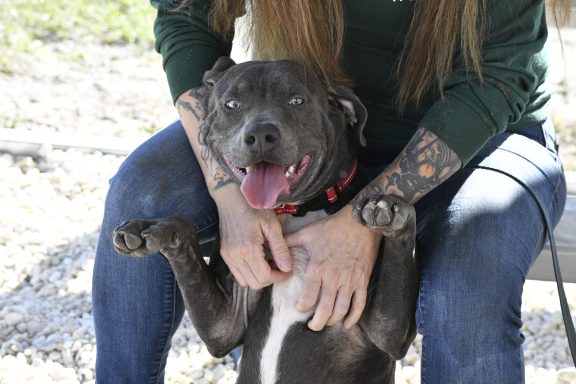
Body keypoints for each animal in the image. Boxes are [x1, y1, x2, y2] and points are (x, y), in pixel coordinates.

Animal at [113, 57, 418, 384]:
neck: (297, 211)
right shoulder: (225, 324)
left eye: (296, 100)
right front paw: (148, 229)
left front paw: (390, 209)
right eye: (232, 103)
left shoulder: (387, 331)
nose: (260, 134)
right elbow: (184, 236)